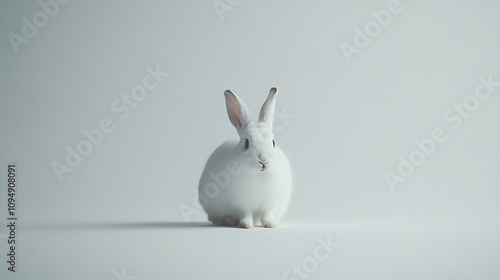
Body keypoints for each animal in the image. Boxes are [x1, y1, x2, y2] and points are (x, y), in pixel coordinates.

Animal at [197, 88, 292, 229]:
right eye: (246, 143)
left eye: (273, 143)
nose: (263, 160)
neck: (259, 175)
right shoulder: (242, 204)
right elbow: (245, 214)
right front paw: (246, 225)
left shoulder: (270, 204)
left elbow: (268, 214)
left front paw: (270, 224)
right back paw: (228, 220)